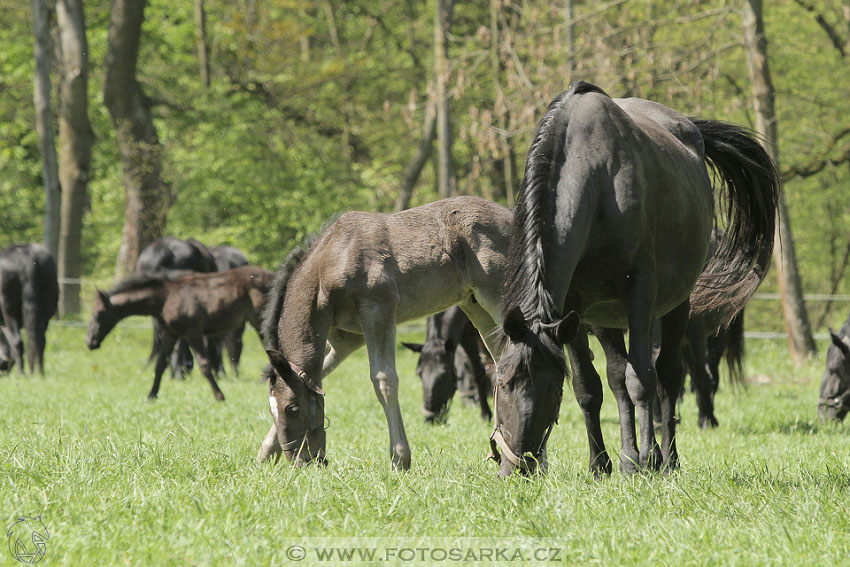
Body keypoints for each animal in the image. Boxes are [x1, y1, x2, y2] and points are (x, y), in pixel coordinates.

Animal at [0, 242, 58, 374]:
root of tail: (28, 257)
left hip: (9, 311)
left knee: (18, 341)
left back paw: (22, 373)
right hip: (46, 310)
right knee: (39, 340)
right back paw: (39, 373)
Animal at [85, 266, 274, 402]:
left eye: (99, 313)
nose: (90, 342)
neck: (165, 298)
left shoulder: (192, 333)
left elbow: (204, 364)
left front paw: (220, 396)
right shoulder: (170, 334)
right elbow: (160, 364)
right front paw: (151, 395)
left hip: (260, 323)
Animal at [258, 196, 510, 470]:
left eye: (292, 409)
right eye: (272, 411)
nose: (300, 461)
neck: (332, 258)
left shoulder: (377, 312)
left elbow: (383, 380)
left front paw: (400, 458)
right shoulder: (348, 338)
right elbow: (321, 372)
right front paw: (265, 452)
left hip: (496, 299)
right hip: (475, 305)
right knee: (500, 360)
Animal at [490, 81, 776, 480]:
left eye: (552, 390)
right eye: (503, 383)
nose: (516, 467)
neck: (597, 183)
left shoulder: (640, 296)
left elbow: (642, 380)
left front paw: (646, 458)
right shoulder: (574, 311)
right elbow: (590, 387)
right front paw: (601, 463)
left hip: (675, 306)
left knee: (667, 376)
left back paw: (665, 458)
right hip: (606, 317)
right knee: (616, 378)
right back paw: (628, 456)